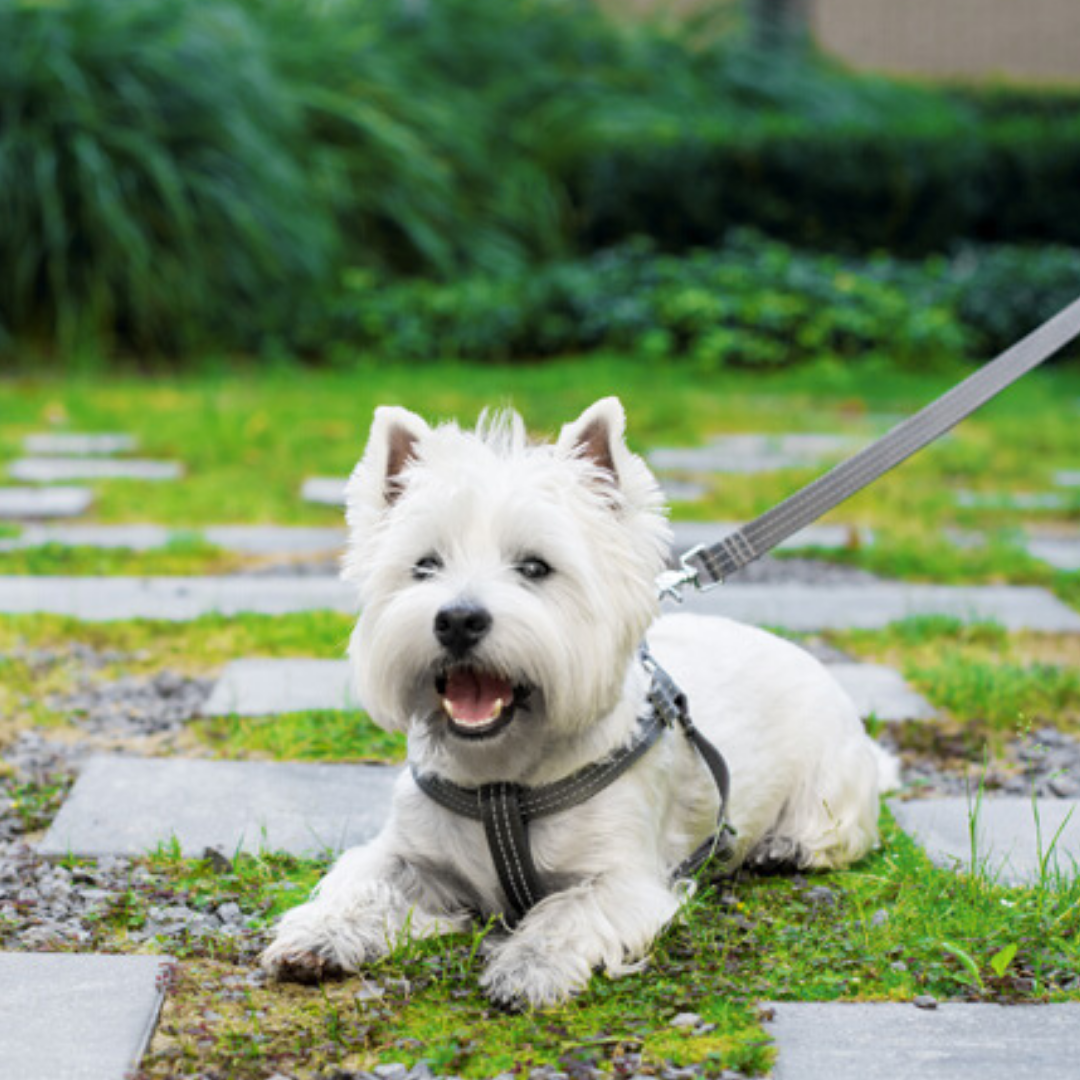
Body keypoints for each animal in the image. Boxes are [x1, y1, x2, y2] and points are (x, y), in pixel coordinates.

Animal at [261, 401, 894, 1006]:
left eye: (535, 567)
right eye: (424, 565)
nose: (458, 619)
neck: (502, 779)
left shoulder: (625, 877)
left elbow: (568, 911)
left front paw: (528, 967)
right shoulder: (407, 853)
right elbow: (362, 882)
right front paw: (318, 935)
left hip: (830, 776)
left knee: (839, 826)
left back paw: (785, 846)